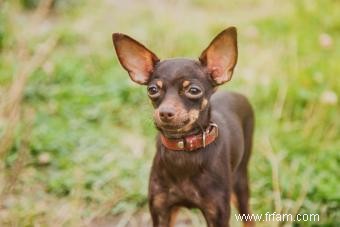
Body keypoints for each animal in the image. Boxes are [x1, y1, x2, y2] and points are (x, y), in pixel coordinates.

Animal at [113, 27, 254, 227]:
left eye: (193, 90)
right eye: (152, 90)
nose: (165, 112)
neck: (183, 150)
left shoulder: (217, 214)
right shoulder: (161, 210)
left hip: (240, 183)